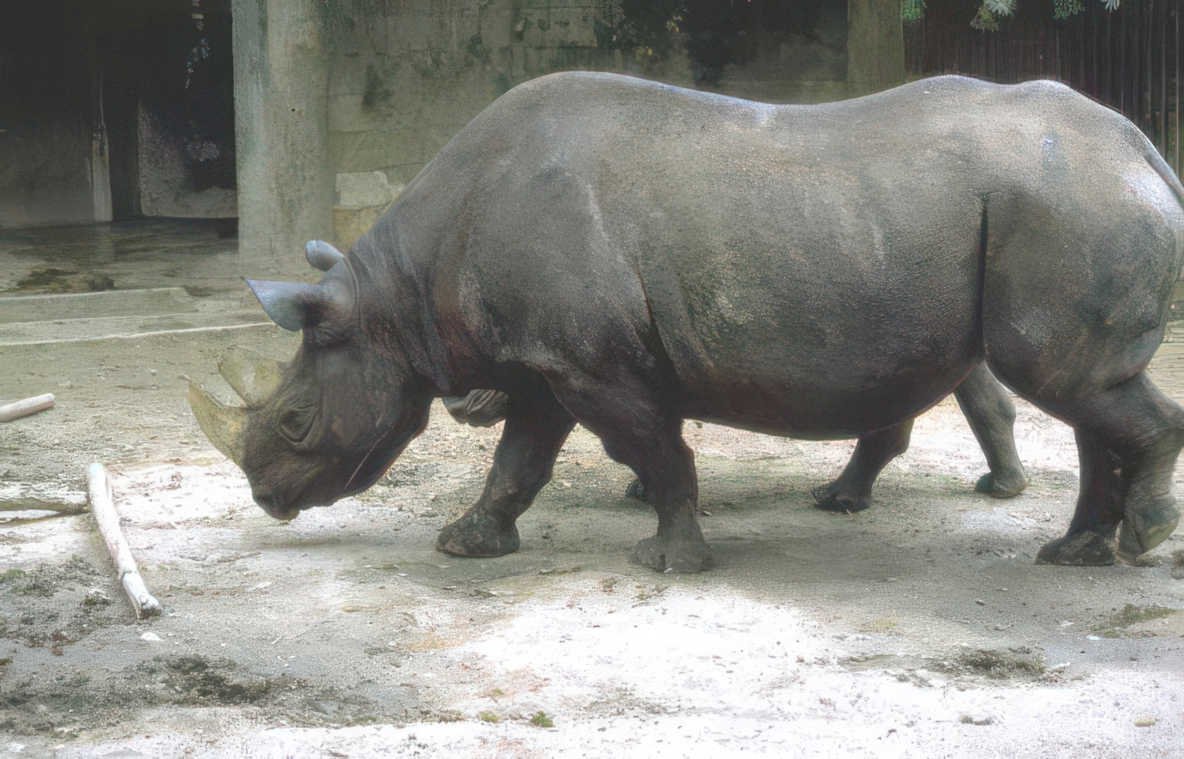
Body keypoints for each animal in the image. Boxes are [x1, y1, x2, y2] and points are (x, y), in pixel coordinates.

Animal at [190, 72, 1184, 572]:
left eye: (294, 419)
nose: (266, 496)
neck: (396, 299)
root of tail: (1141, 145)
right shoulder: (549, 360)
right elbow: (522, 457)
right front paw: (467, 545)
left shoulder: (591, 365)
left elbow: (653, 450)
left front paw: (670, 562)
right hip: (1060, 203)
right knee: (1084, 392)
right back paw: (1075, 552)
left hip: (1063, 203)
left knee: (1064, 378)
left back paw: (1139, 539)